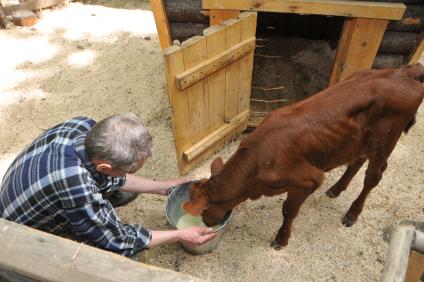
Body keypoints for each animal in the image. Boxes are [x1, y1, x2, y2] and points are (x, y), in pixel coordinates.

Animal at [184, 63, 424, 249]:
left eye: (204, 210)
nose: (206, 222)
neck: (255, 177)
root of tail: (403, 72)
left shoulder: (308, 179)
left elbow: (288, 210)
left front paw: (281, 239)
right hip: (359, 142)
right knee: (356, 162)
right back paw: (336, 189)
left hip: (386, 142)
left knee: (373, 177)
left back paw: (352, 214)